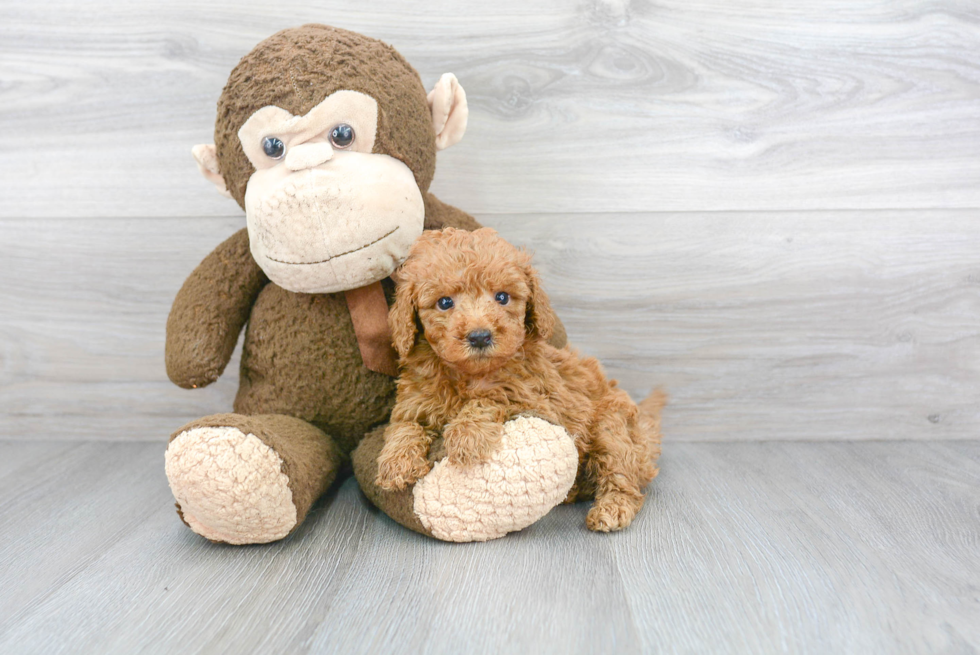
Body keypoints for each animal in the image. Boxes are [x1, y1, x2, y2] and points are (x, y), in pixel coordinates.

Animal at [378, 228, 664, 532]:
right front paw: (395, 462)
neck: (468, 374)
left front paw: (467, 435)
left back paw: (611, 508)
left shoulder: (536, 400)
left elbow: (492, 397)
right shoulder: (414, 403)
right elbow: (403, 426)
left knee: (622, 476)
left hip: (612, 427)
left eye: (502, 297)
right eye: (445, 302)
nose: (480, 336)